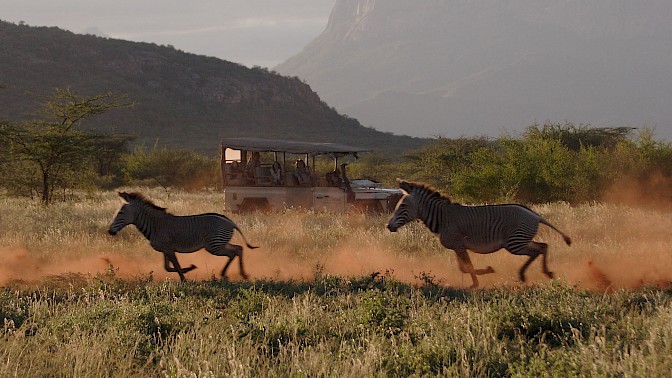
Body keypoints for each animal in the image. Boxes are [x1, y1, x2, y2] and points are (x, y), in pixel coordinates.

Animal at [109, 192, 258, 280]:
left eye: (121, 212)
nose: (110, 231)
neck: (155, 225)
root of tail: (230, 221)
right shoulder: (166, 250)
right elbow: (168, 267)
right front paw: (189, 269)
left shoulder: (169, 249)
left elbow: (176, 265)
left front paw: (185, 278)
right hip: (220, 243)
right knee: (238, 249)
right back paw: (240, 274)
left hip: (214, 245)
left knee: (234, 251)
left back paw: (229, 274)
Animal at [386, 179, 568, 286]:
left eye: (403, 206)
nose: (389, 227)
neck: (443, 218)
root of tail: (535, 215)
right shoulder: (457, 246)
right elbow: (463, 268)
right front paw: (487, 271)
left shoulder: (459, 245)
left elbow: (468, 266)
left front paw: (475, 284)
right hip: (521, 240)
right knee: (543, 246)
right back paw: (544, 272)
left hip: (515, 243)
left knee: (537, 250)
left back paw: (526, 274)